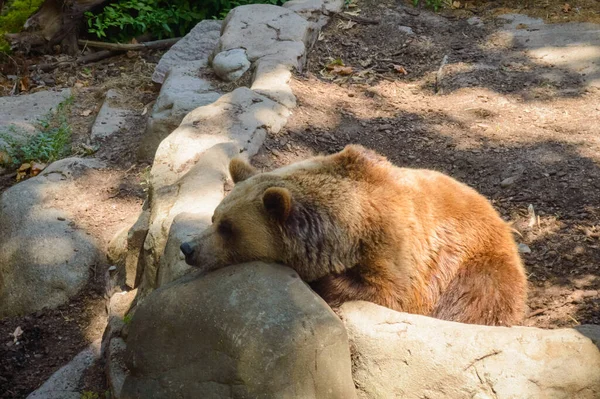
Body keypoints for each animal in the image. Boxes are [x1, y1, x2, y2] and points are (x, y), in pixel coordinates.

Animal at [180, 145, 528, 326]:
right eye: (214, 217)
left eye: (228, 228)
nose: (188, 248)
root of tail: (501, 221)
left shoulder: (396, 248)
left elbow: (389, 293)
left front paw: (322, 283)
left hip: (479, 265)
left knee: (479, 301)